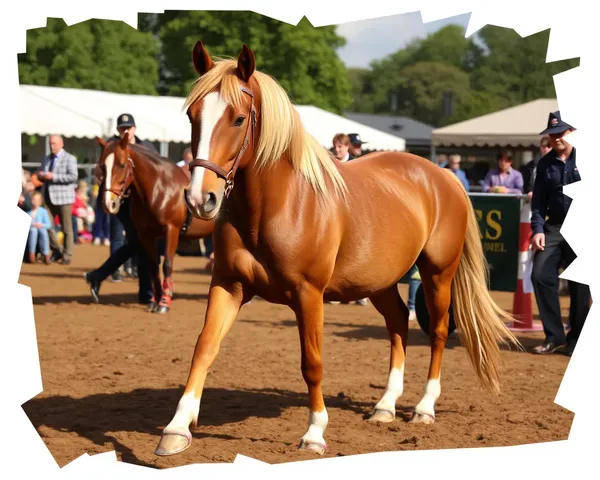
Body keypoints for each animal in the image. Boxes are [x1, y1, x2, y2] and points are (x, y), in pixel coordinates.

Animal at [98, 134, 218, 316]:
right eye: (102, 166)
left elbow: (167, 264)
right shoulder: (146, 234)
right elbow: (153, 265)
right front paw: (155, 301)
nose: (108, 203)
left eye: (122, 164)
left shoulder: (172, 230)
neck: (160, 187)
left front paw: (164, 302)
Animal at [154, 42, 520, 458]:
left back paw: (424, 408)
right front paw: (176, 428)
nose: (200, 199)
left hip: (437, 273)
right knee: (398, 323)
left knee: (439, 331)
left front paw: (314, 432)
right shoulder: (228, 286)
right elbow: (204, 347)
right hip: (379, 282)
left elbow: (312, 363)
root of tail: (443, 175)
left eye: (238, 118)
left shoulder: (309, 295)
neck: (279, 205)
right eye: (192, 115)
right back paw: (385, 406)